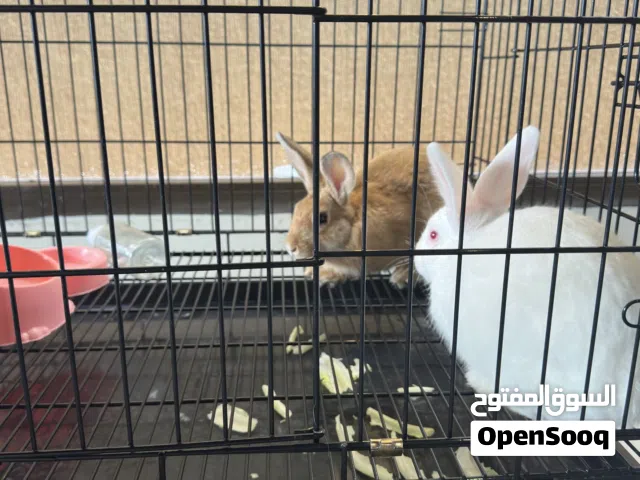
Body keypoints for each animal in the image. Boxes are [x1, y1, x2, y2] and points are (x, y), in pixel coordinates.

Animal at [276, 133, 443, 288]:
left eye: (322, 218)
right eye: (296, 208)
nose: (291, 248)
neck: (354, 222)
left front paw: (403, 276)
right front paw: (323, 275)